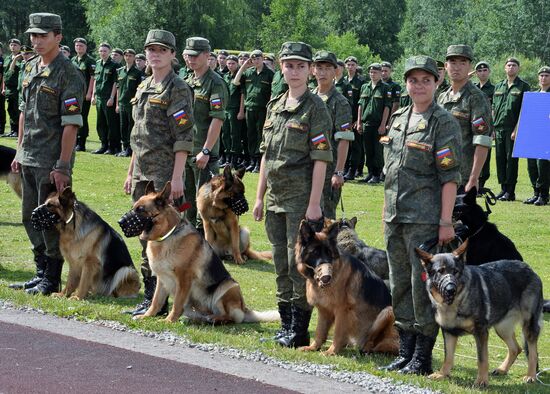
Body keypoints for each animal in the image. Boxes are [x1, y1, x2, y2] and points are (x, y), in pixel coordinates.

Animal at [123, 182, 282, 324]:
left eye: (141, 210)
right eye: (134, 208)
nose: (119, 222)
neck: (167, 235)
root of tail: (244, 309)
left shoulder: (184, 279)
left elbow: (177, 303)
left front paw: (169, 320)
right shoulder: (162, 279)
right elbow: (156, 301)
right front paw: (147, 316)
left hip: (228, 287)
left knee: (230, 317)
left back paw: (215, 319)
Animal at [296, 220, 398, 356]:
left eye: (329, 252)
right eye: (315, 252)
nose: (326, 277)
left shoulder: (342, 311)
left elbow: (338, 333)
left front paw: (331, 351)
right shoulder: (324, 310)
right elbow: (319, 332)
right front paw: (313, 347)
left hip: (387, 311)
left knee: (374, 343)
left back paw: (365, 349)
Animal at [418, 240, 544, 388]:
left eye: (455, 272)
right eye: (440, 272)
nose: (450, 289)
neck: (456, 303)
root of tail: (529, 268)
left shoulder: (481, 332)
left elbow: (482, 359)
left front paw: (481, 381)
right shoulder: (449, 332)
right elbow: (448, 356)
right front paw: (443, 374)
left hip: (528, 326)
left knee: (533, 352)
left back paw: (530, 376)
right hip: (502, 328)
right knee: (516, 348)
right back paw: (502, 369)